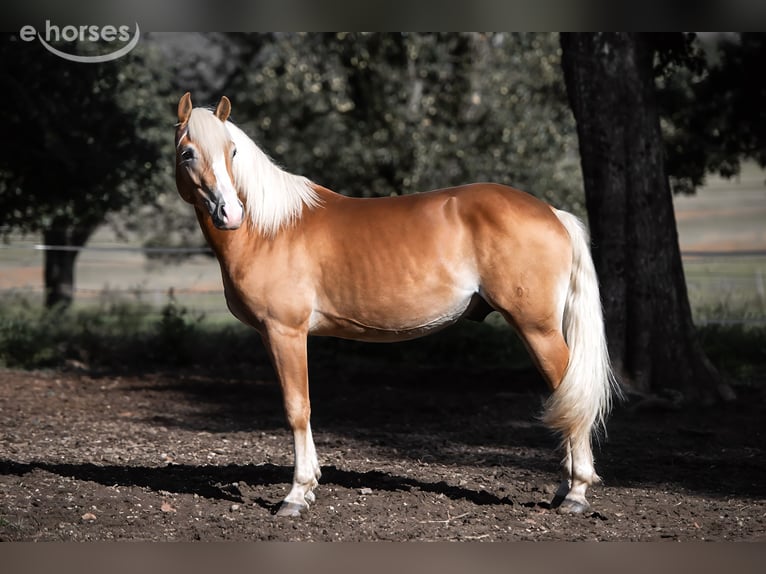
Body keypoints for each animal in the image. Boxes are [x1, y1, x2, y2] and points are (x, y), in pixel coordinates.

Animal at [174, 92, 619, 517]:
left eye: (232, 150)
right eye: (187, 153)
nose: (230, 213)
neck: (271, 228)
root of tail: (553, 213)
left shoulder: (286, 332)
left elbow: (297, 408)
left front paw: (296, 495)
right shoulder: (274, 336)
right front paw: (312, 482)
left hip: (537, 329)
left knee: (573, 396)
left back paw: (576, 493)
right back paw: (564, 488)